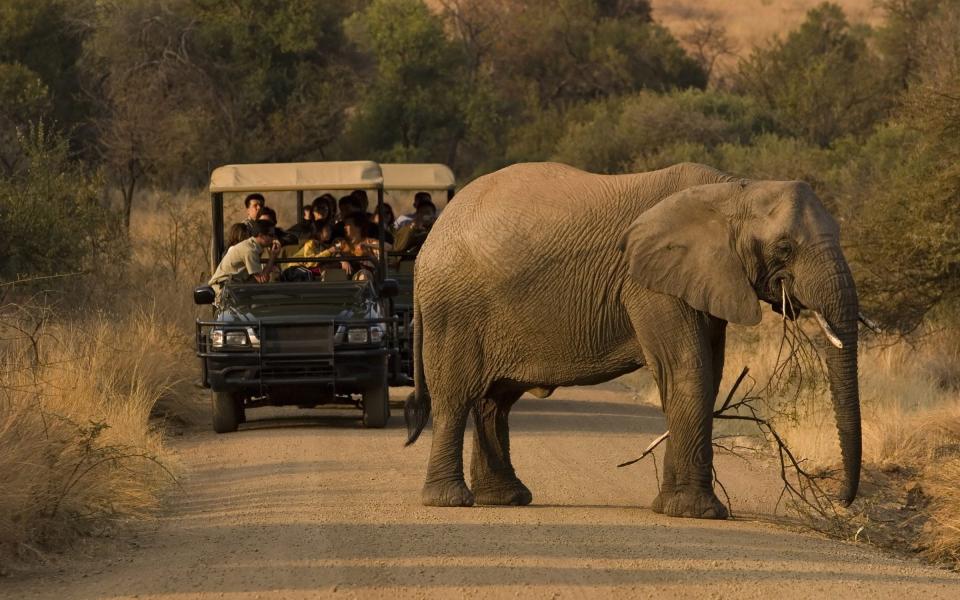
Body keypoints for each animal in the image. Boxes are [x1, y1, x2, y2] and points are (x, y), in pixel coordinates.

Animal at [404, 162, 864, 516]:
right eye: (784, 248)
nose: (840, 502)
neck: (732, 189)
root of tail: (430, 241)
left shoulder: (701, 277)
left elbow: (709, 373)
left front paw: (674, 508)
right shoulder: (648, 283)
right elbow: (688, 369)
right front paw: (698, 513)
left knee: (494, 402)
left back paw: (506, 499)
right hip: (454, 310)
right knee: (455, 397)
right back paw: (451, 501)